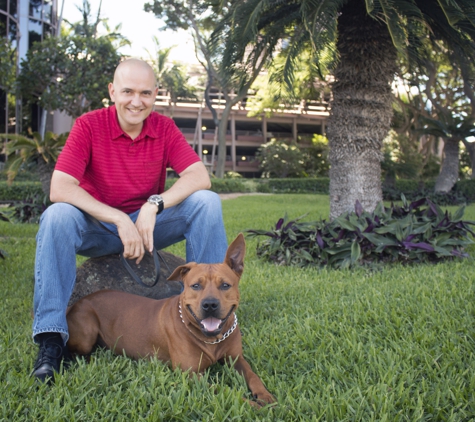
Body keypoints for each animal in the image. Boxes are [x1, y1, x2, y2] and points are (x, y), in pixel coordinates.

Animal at [66, 234, 276, 406]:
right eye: (195, 286)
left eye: (225, 285)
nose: (209, 304)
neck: (211, 339)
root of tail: (79, 301)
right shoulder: (192, 374)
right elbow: (227, 391)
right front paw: (253, 405)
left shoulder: (236, 359)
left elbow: (253, 376)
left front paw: (265, 396)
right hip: (86, 331)